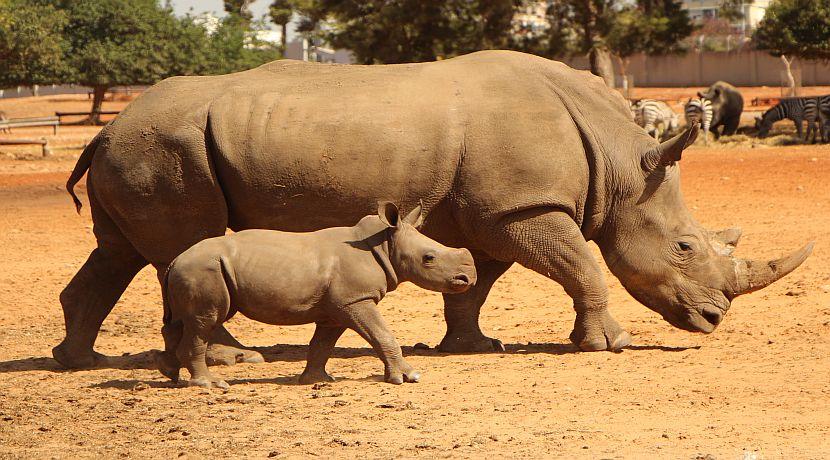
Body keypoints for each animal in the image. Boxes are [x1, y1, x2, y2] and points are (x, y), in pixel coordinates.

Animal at [57, 50, 812, 369]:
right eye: (685, 247)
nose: (714, 319)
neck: (623, 161)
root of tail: (104, 129)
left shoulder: (490, 211)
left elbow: (475, 281)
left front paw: (473, 346)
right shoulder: (521, 207)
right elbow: (582, 265)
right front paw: (609, 345)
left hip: (142, 149)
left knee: (121, 252)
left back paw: (79, 360)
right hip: (167, 148)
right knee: (185, 244)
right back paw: (235, 359)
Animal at [157, 202, 476, 388]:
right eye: (429, 258)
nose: (468, 278)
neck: (383, 245)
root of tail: (175, 260)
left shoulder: (338, 305)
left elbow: (322, 343)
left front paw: (317, 379)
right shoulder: (356, 299)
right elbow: (382, 334)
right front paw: (408, 377)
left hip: (197, 269)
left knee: (184, 321)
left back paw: (170, 374)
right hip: (203, 269)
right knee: (204, 321)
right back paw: (209, 385)